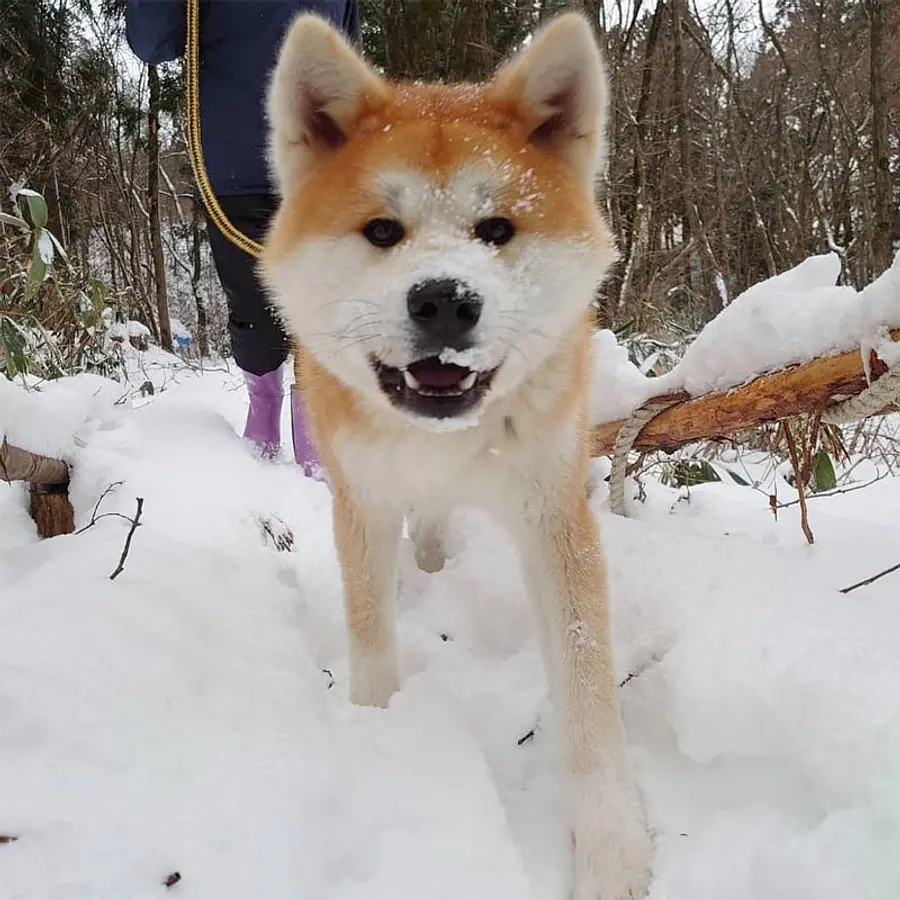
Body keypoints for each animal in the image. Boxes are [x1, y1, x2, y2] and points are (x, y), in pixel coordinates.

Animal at [260, 14, 652, 900]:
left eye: (496, 229)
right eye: (382, 231)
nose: (445, 299)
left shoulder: (553, 514)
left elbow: (588, 687)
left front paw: (611, 847)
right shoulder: (362, 503)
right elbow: (371, 637)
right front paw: (376, 735)